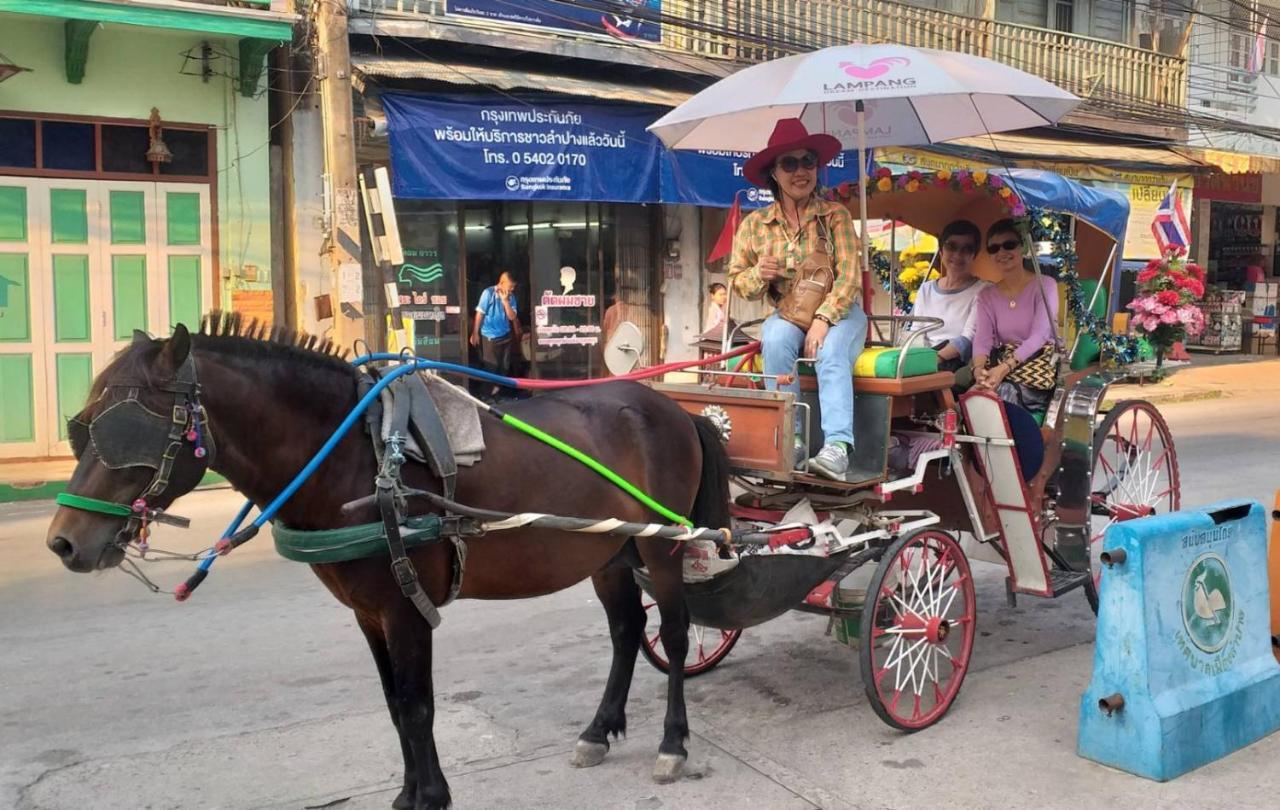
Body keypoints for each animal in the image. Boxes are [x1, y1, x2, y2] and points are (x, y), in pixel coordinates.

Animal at [42, 314, 732, 808]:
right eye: (82, 424)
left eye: (128, 428)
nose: (64, 542)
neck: (353, 456)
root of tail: (672, 409)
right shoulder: (367, 612)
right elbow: (396, 705)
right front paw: (409, 795)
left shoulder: (406, 608)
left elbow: (419, 704)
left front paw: (430, 798)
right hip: (609, 549)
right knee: (626, 629)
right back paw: (598, 729)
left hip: (661, 542)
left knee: (672, 631)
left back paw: (673, 743)